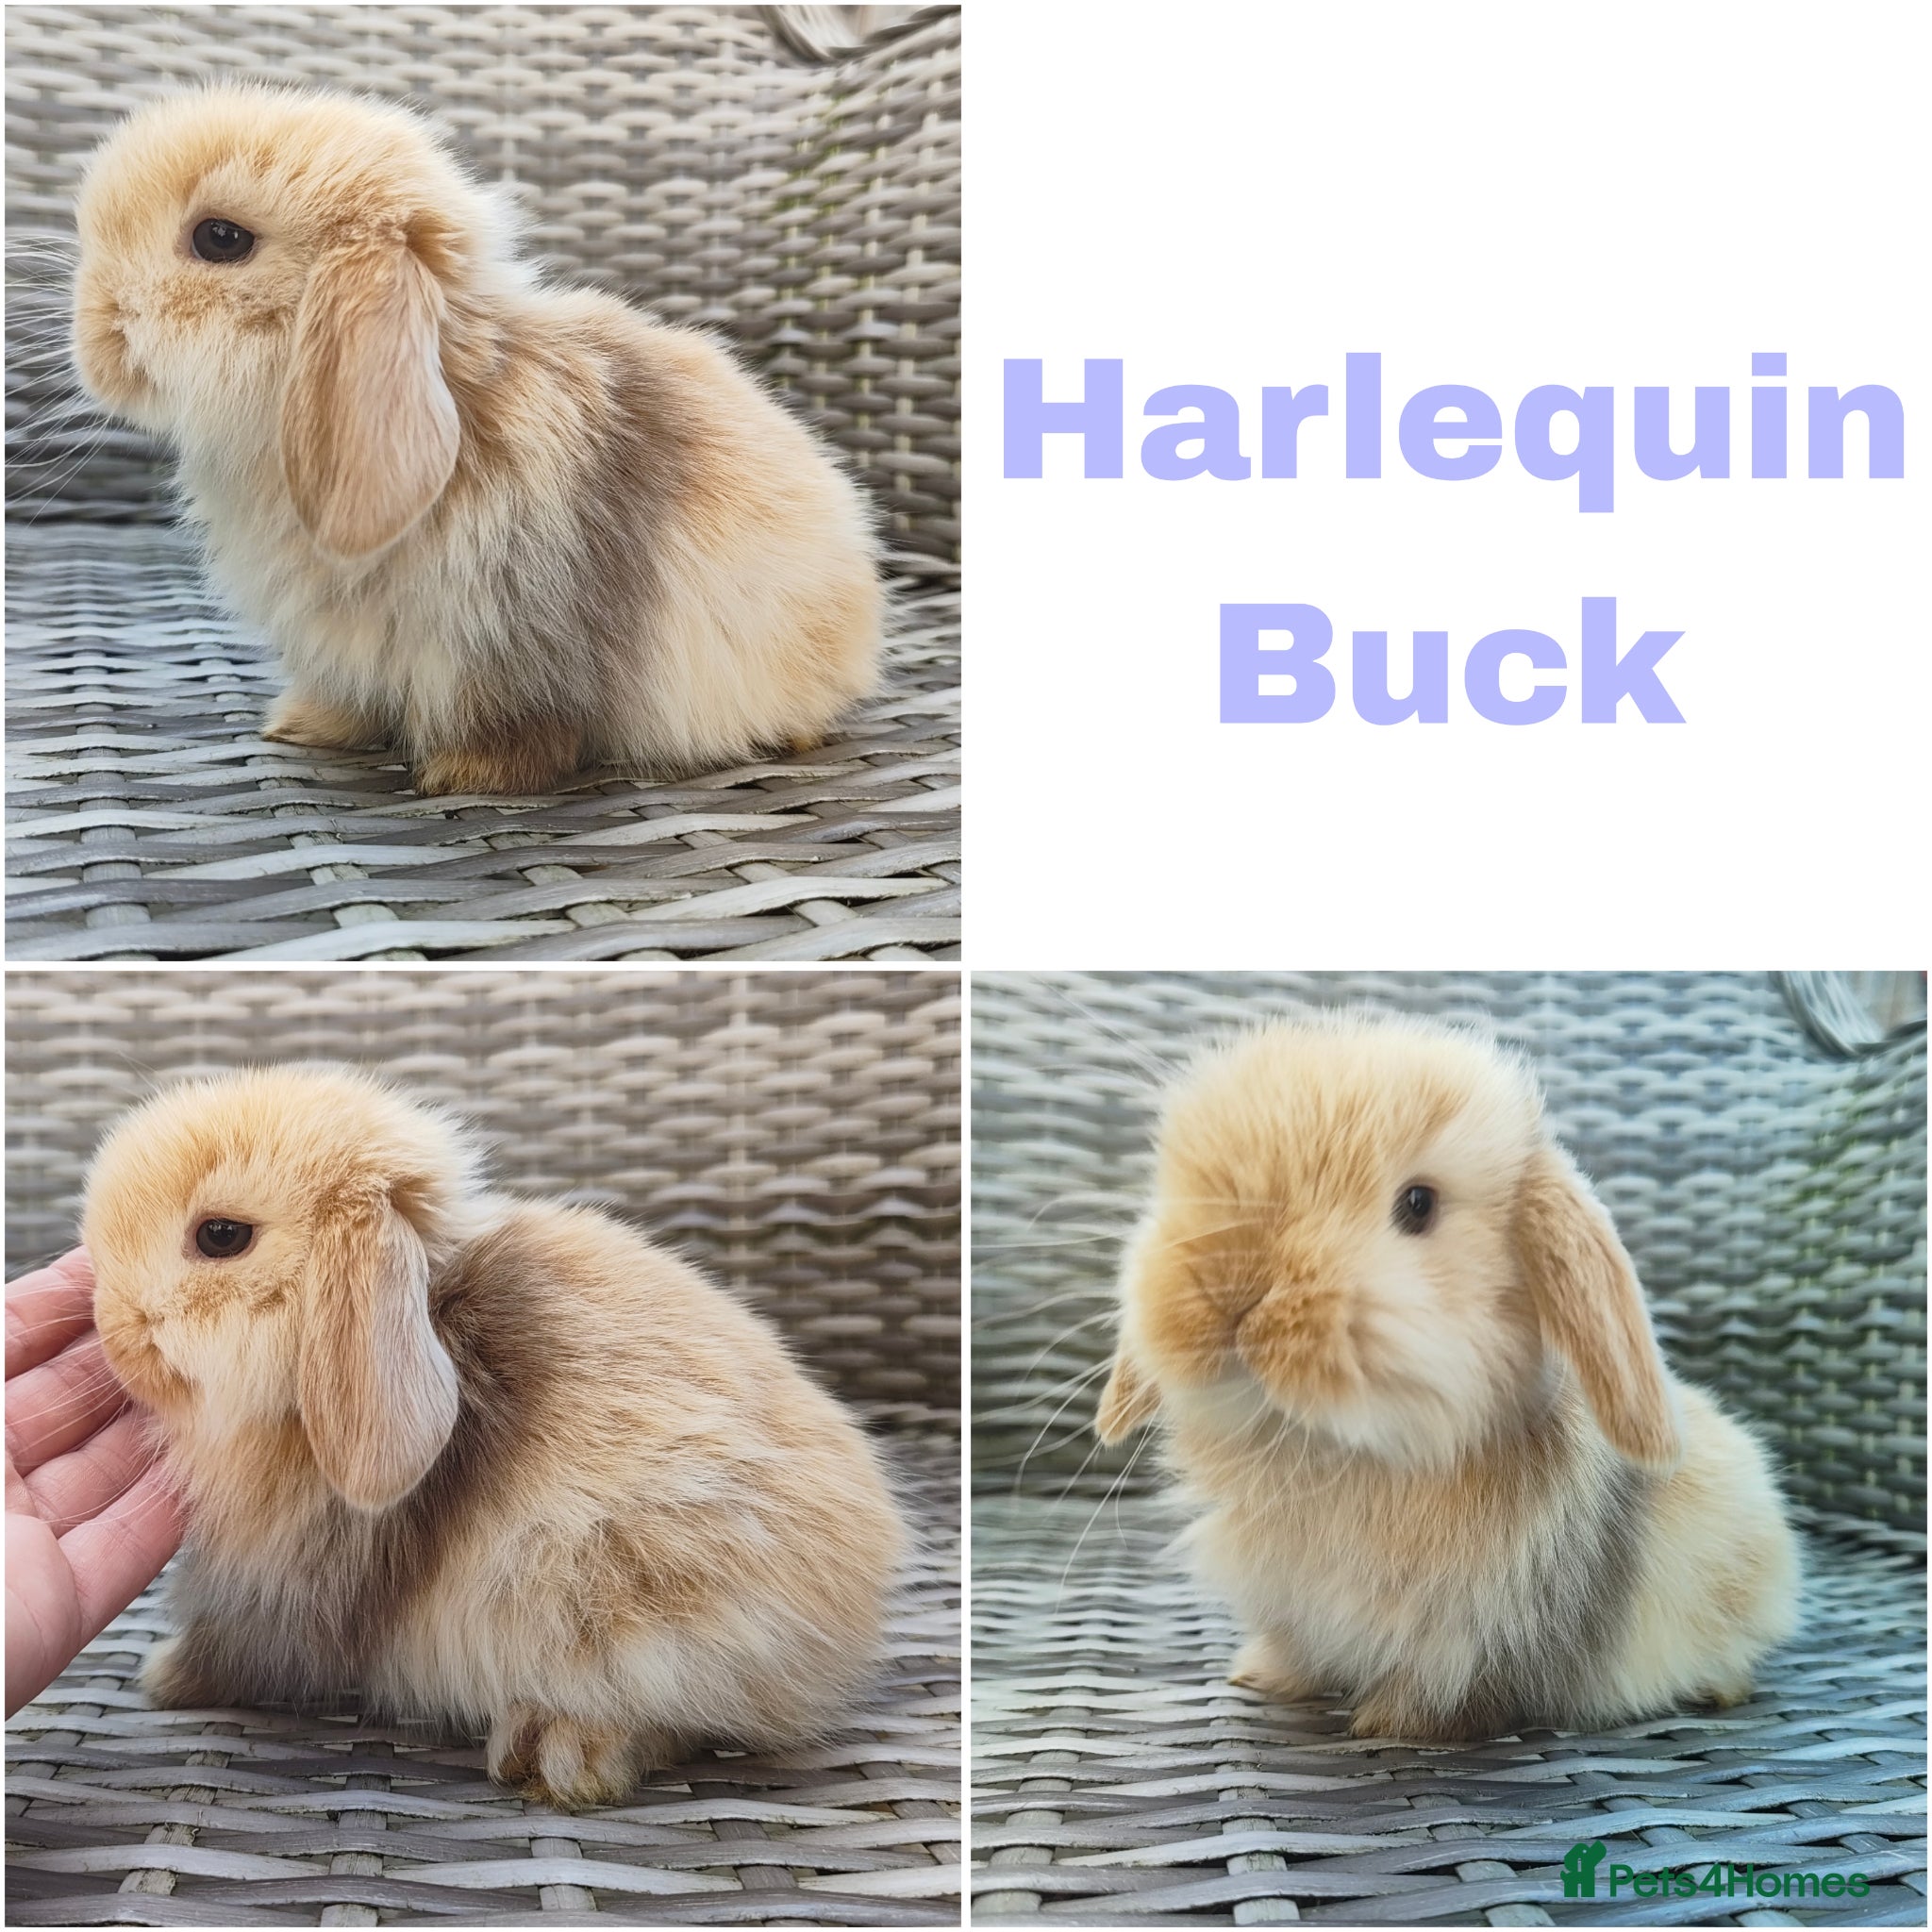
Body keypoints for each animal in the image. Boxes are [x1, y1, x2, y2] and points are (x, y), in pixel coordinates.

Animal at [70, 84, 883, 796]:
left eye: (220, 238)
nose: (94, 336)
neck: (464, 404)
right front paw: (301, 725)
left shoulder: (521, 644)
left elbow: (529, 727)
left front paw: (467, 776)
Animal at [82, 1065, 909, 1807]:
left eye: (221, 1236)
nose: (110, 1329)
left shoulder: (282, 1592)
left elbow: (238, 1651)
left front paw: (162, 1675)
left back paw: (557, 1751)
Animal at [1095, 1012, 1800, 1743]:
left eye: (1417, 1204)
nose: (1228, 1293)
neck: (1326, 1452)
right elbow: (1298, 1652)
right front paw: (1261, 1674)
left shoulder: (1484, 1640)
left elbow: (1454, 1692)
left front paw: (1390, 1723)